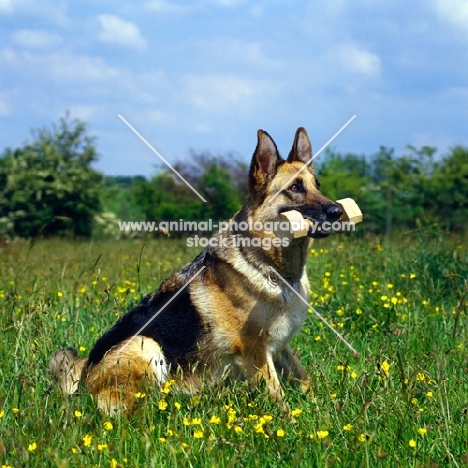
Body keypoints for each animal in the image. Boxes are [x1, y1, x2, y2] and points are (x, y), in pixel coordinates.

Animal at [49, 127, 344, 414]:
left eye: (317, 186)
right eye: (295, 187)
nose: (338, 211)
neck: (271, 267)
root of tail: (83, 379)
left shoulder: (281, 350)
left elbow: (303, 379)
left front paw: (325, 411)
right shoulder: (255, 351)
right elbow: (278, 396)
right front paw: (291, 422)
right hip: (147, 346)